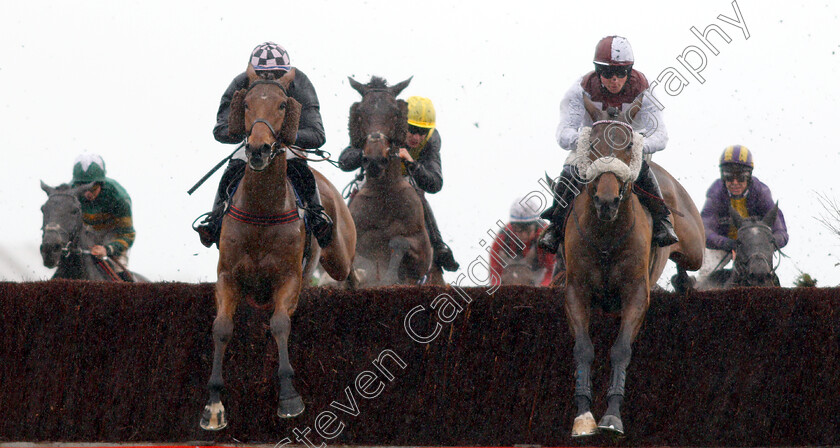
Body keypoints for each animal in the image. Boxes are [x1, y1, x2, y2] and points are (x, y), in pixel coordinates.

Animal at [201, 66, 358, 430]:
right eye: (246, 104)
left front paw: (288, 397)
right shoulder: (227, 275)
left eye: (284, 105)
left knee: (350, 268)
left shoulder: (289, 278)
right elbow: (222, 327)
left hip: (338, 253)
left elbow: (280, 324)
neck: (262, 209)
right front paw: (214, 404)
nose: (258, 149)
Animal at [344, 76, 442, 288]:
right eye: (360, 113)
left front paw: (390, 277)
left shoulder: (422, 253)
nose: (374, 160)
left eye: (396, 113)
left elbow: (399, 242)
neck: (384, 193)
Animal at [560, 97, 704, 438]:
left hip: (695, 247)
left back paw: (683, 281)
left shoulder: (636, 291)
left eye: (627, 146)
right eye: (593, 146)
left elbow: (621, 349)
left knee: (689, 262)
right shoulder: (576, 290)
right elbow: (583, 348)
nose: (607, 201)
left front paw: (612, 416)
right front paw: (583, 416)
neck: (606, 233)